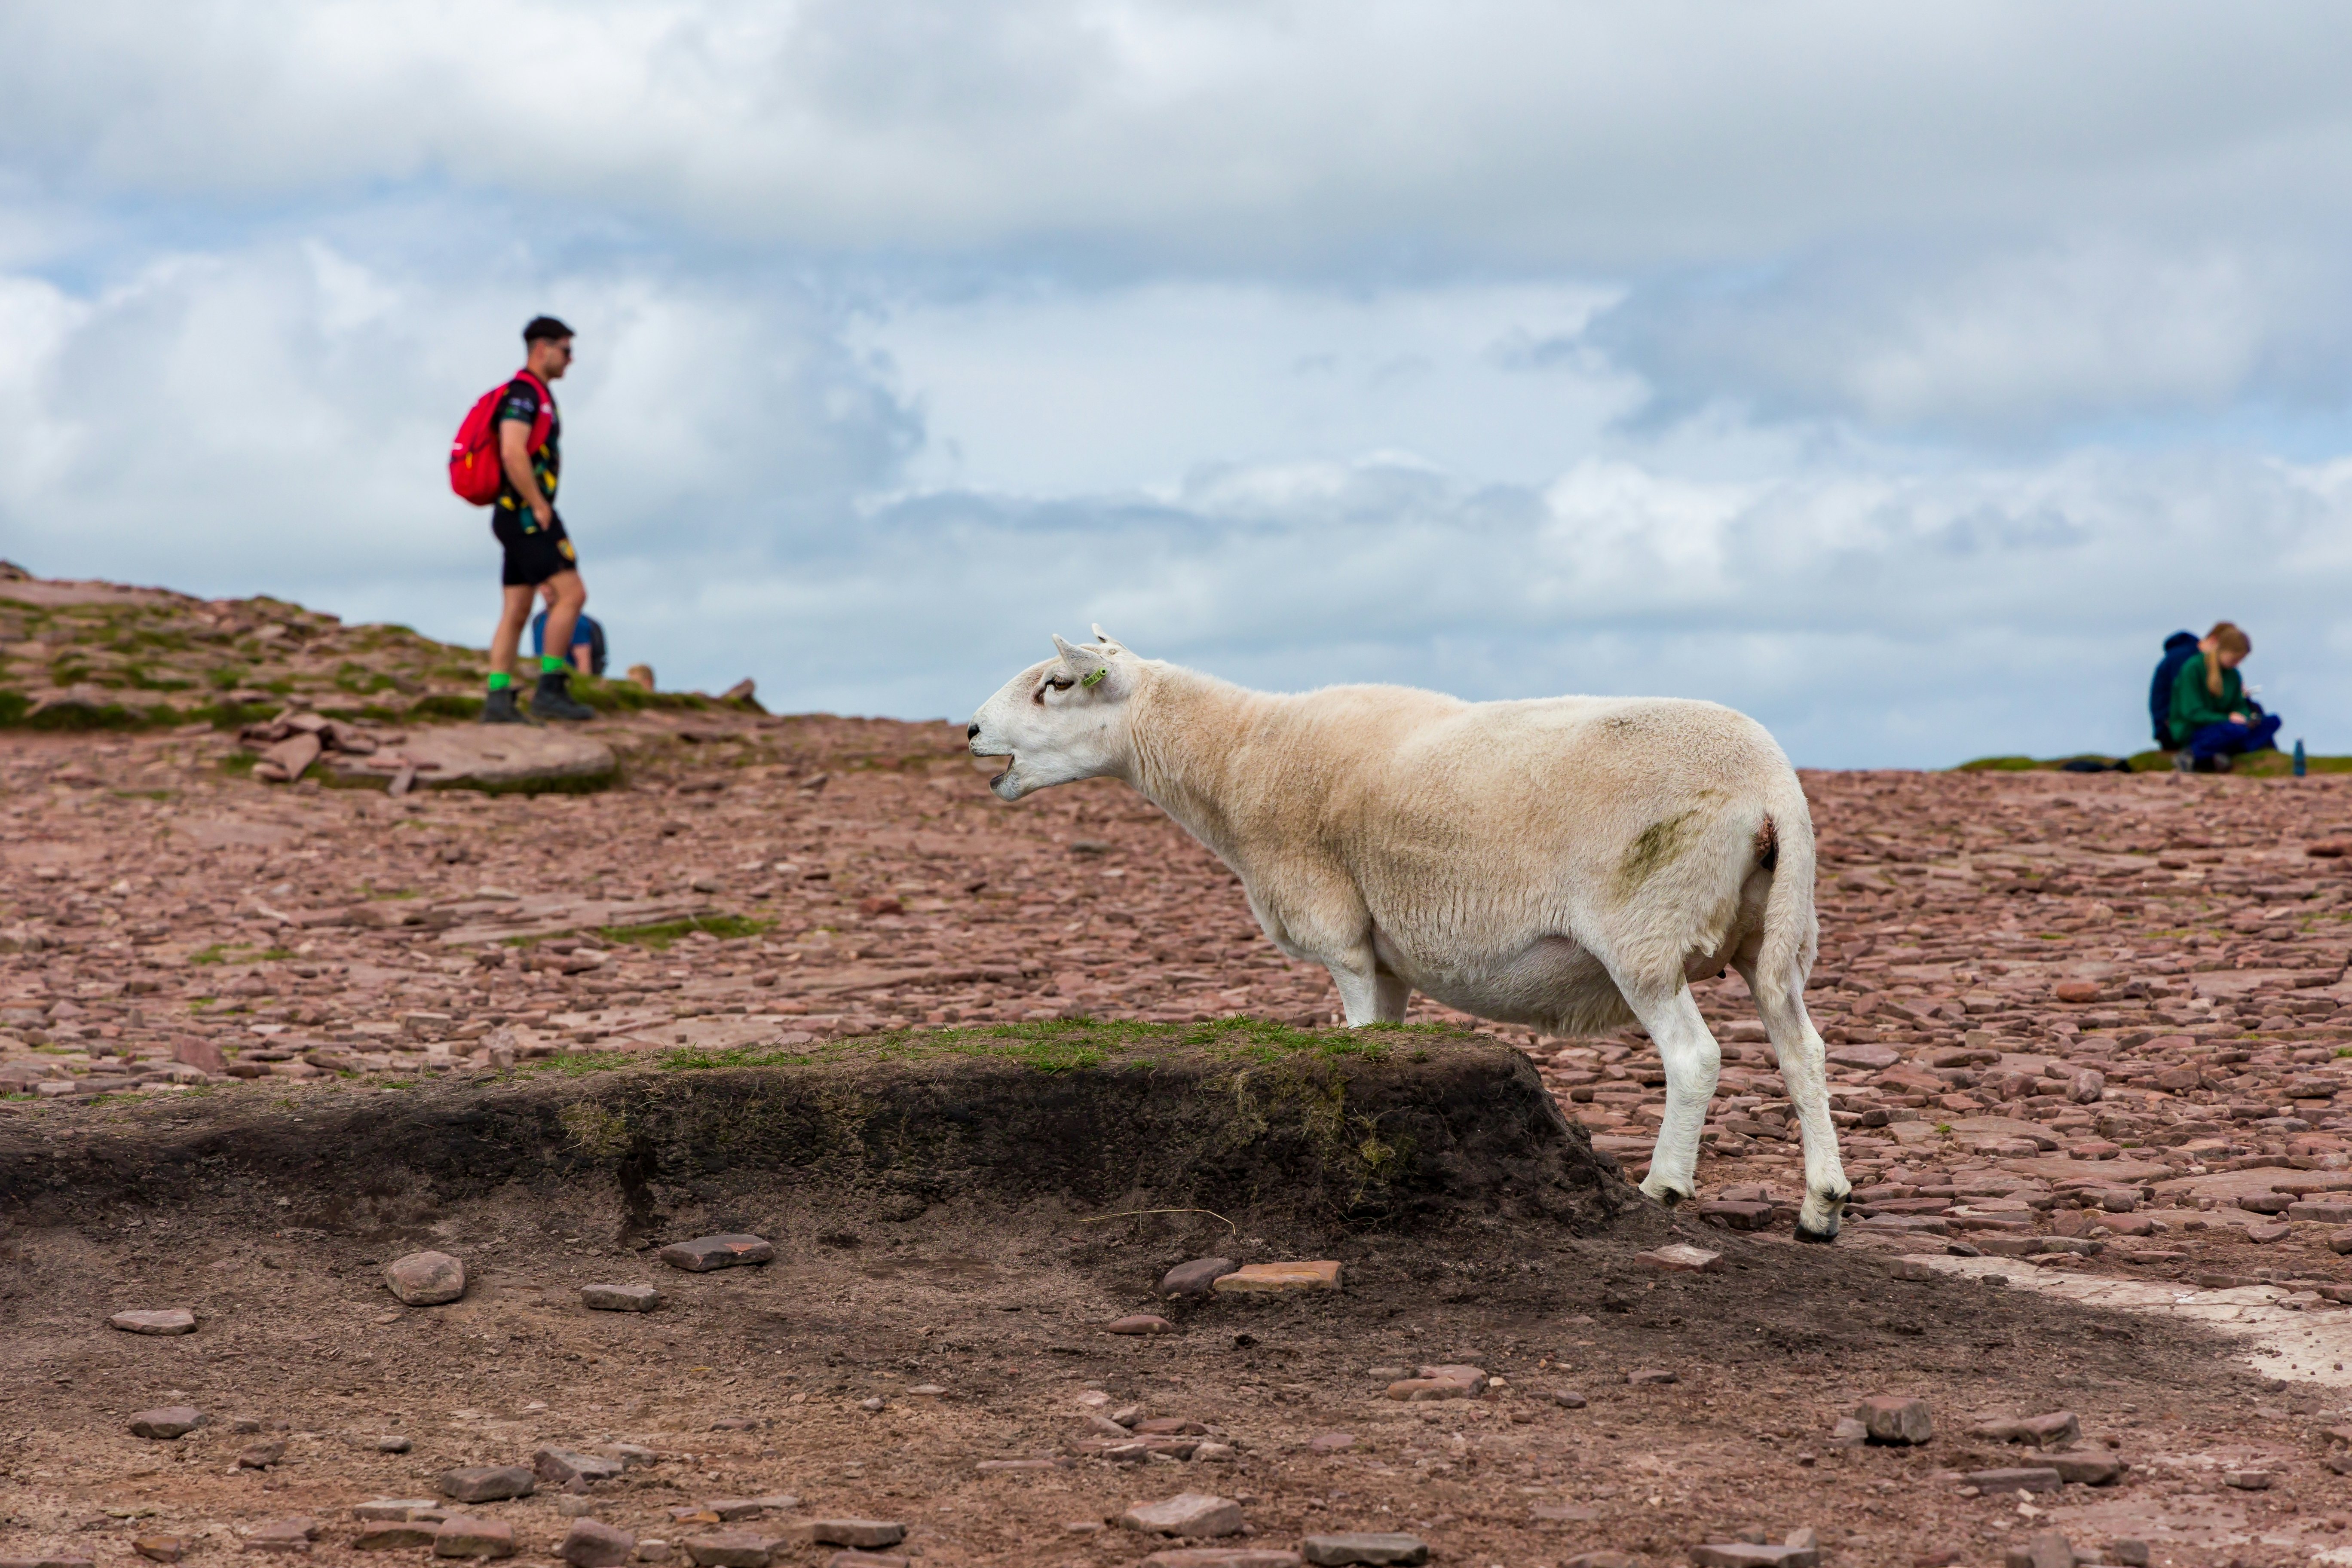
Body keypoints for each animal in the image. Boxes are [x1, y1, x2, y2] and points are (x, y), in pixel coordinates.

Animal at [966, 628, 1851, 1242]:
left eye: (1055, 684)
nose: (970, 732)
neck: (1240, 758)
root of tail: (1770, 786)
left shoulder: (1339, 931)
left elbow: (1355, 1033)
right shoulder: (1384, 953)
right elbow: (1381, 1048)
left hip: (1647, 927)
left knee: (1694, 1056)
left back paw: (1664, 1186)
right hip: (1775, 933)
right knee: (1801, 1049)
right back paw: (1821, 1206)